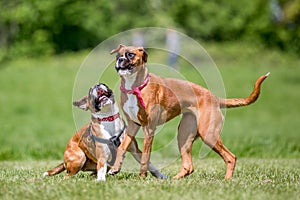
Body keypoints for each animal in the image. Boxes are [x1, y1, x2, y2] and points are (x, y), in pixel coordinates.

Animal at [108, 44, 270, 179]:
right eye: (118, 56)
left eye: (130, 54)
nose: (120, 59)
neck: (135, 86)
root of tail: (214, 98)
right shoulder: (132, 125)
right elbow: (122, 148)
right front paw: (115, 169)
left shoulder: (149, 128)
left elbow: (145, 156)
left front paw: (142, 177)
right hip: (184, 135)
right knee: (188, 166)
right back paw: (174, 180)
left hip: (208, 134)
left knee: (230, 157)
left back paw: (227, 180)